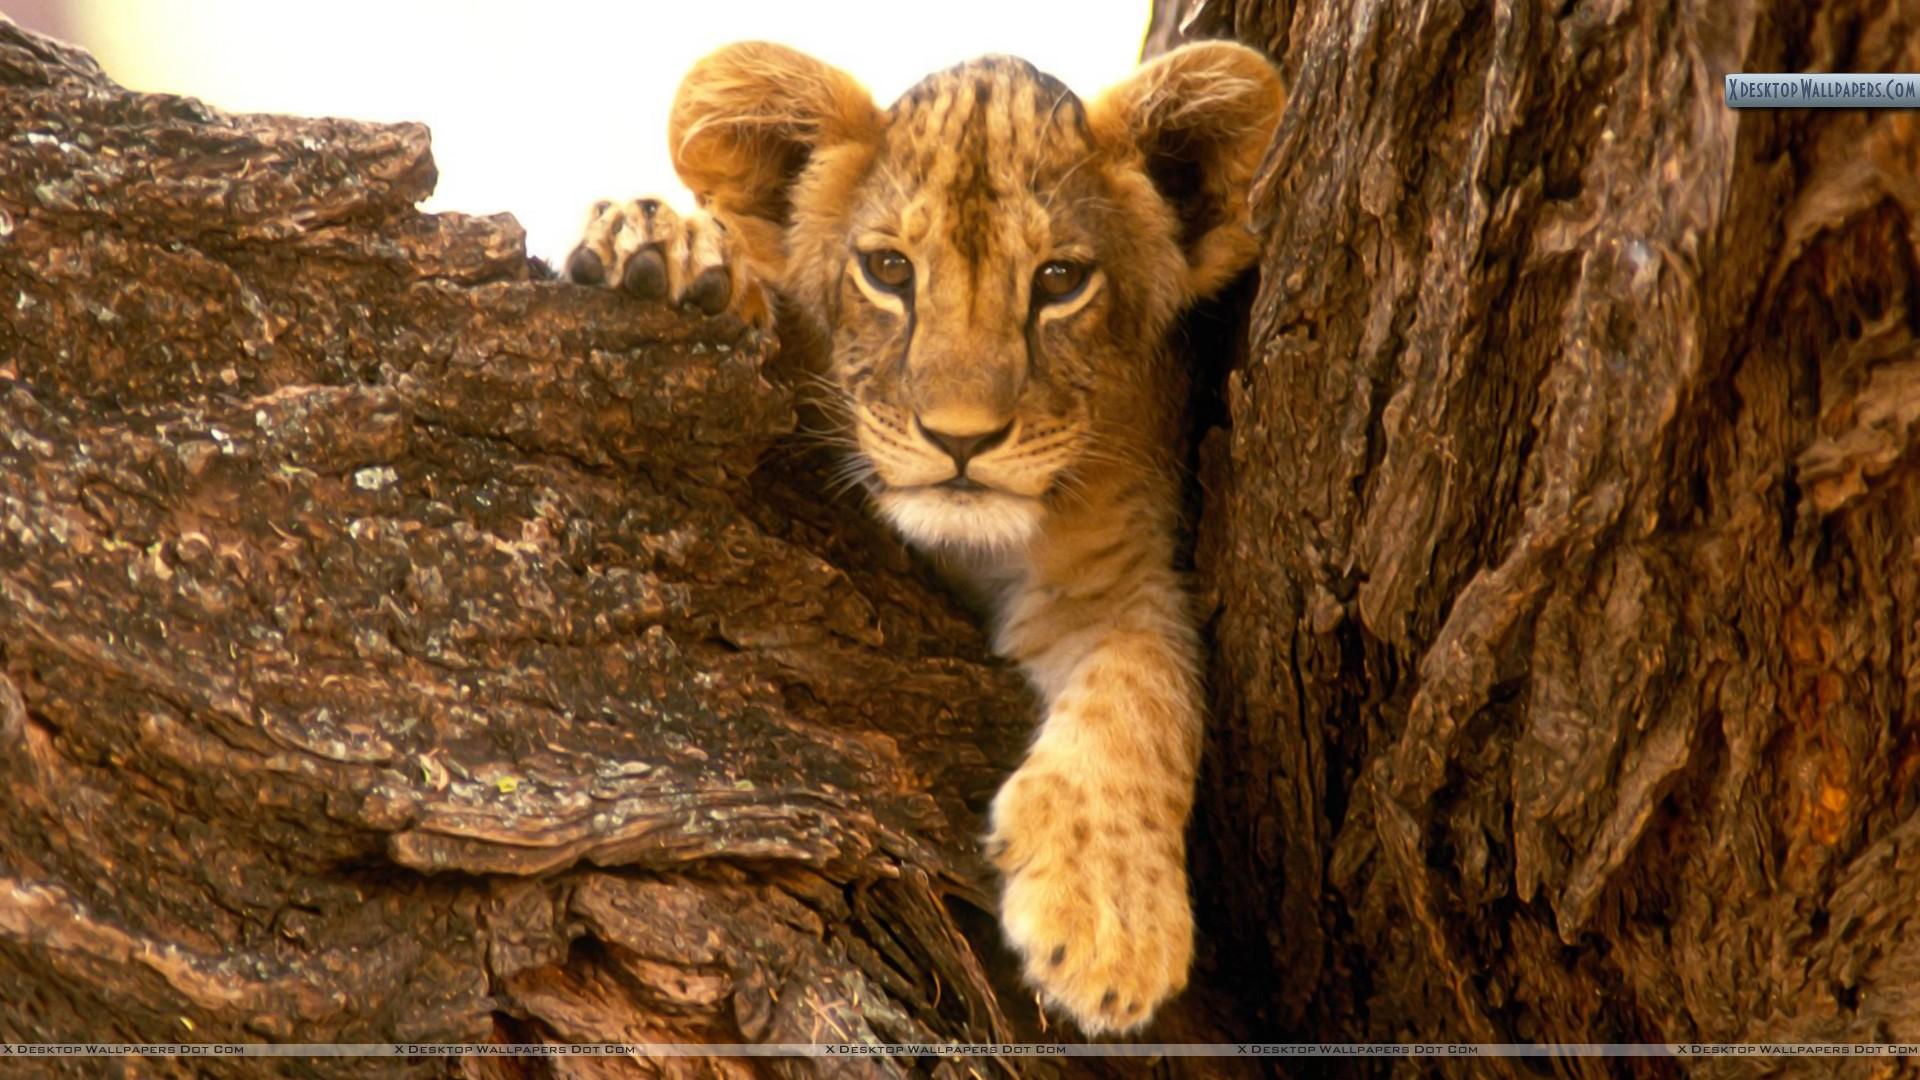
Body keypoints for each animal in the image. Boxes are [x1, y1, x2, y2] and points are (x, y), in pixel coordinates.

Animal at [565, 39, 1283, 1035]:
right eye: (889, 270)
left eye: (1060, 280)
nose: (961, 438)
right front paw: (666, 247)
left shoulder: (1117, 571)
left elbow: (1147, 689)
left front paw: (1109, 923)